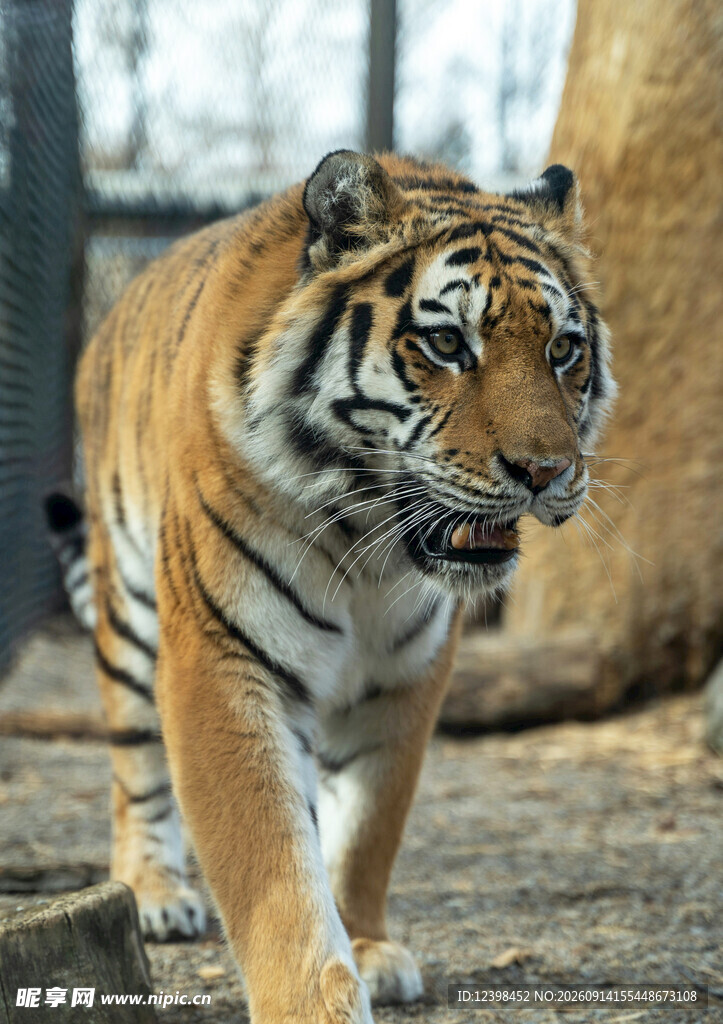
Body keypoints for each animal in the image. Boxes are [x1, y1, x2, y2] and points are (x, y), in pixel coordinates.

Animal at [49, 150, 615, 1023]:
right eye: (446, 343)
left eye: (561, 349)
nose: (546, 472)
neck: (368, 548)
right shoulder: (222, 657)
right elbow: (270, 865)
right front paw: (309, 1004)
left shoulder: (405, 675)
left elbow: (368, 826)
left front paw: (368, 945)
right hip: (129, 610)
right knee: (134, 764)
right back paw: (156, 893)